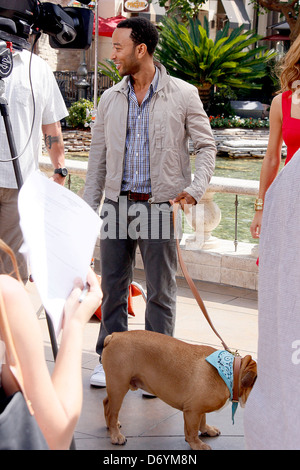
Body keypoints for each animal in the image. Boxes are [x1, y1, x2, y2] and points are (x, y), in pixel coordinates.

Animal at [102, 328, 256, 450]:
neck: (232, 372)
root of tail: (115, 336)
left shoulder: (200, 409)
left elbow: (203, 420)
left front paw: (207, 430)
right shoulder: (193, 411)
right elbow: (192, 431)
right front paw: (197, 444)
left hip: (118, 386)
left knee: (106, 403)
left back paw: (112, 425)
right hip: (118, 386)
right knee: (112, 411)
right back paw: (116, 435)